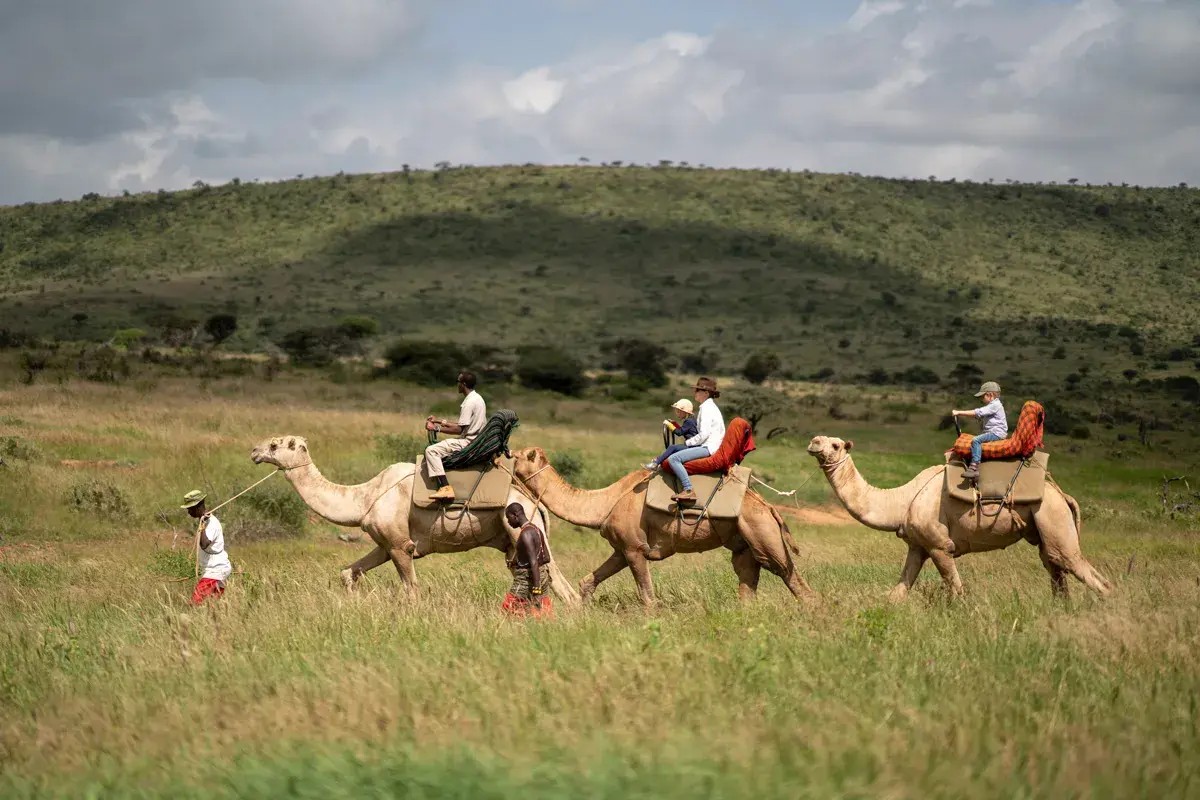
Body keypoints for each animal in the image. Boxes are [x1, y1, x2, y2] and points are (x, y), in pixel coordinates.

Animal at [249, 435, 580, 606]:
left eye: (276, 445)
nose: (254, 450)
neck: (366, 496)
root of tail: (534, 502)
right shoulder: (385, 543)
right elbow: (348, 573)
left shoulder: (400, 545)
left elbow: (411, 591)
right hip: (512, 542)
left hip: (522, 527)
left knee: (563, 586)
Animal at [510, 447, 816, 607]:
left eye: (521, 456)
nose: (508, 450)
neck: (607, 501)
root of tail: (769, 506)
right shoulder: (622, 548)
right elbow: (588, 582)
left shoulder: (634, 549)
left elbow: (647, 596)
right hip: (743, 542)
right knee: (747, 579)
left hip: (762, 530)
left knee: (789, 574)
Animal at [806, 436, 1112, 600]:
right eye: (820, 440)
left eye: (836, 445)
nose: (813, 442)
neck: (901, 500)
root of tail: (1063, 495)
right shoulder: (918, 545)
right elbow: (898, 592)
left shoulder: (940, 545)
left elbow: (957, 590)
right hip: (1043, 524)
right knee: (1055, 566)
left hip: (1051, 513)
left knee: (1077, 566)